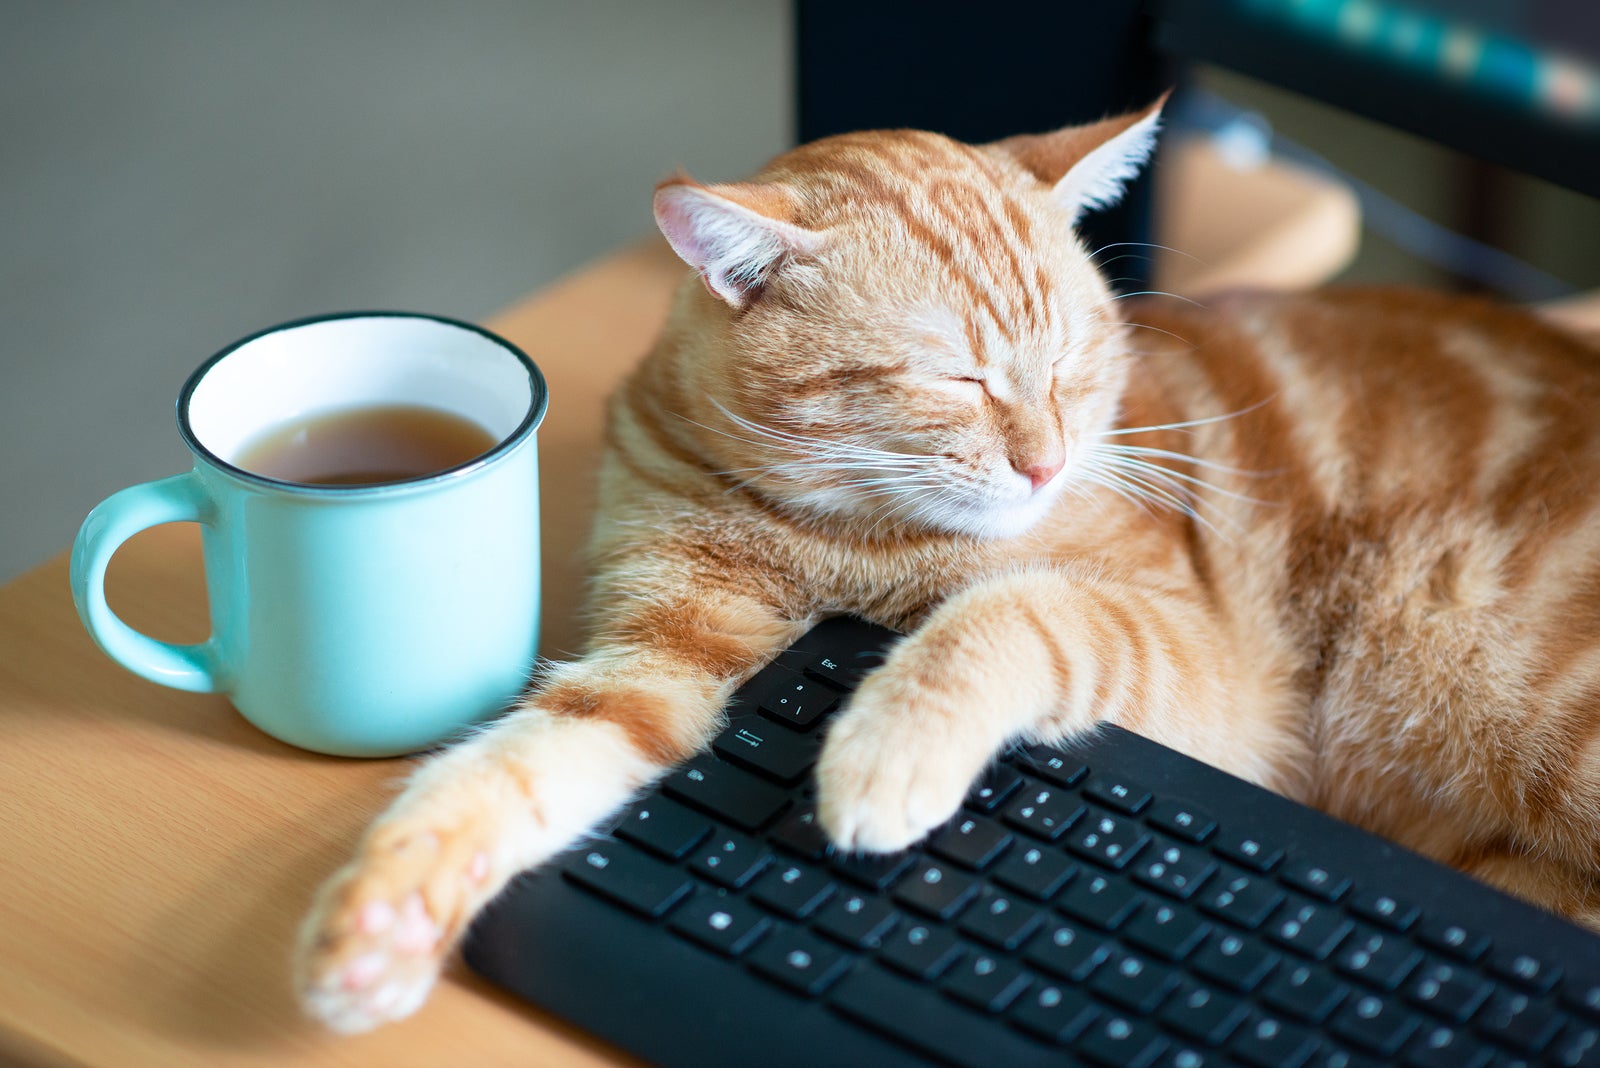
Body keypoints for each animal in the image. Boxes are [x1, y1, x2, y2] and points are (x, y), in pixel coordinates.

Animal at [294, 102, 1600, 1036]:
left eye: (1070, 359)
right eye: (957, 378)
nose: (1046, 462)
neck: (837, 529)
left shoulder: (1212, 669)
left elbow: (1009, 616)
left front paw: (882, 749)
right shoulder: (655, 657)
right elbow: (512, 768)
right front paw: (382, 921)